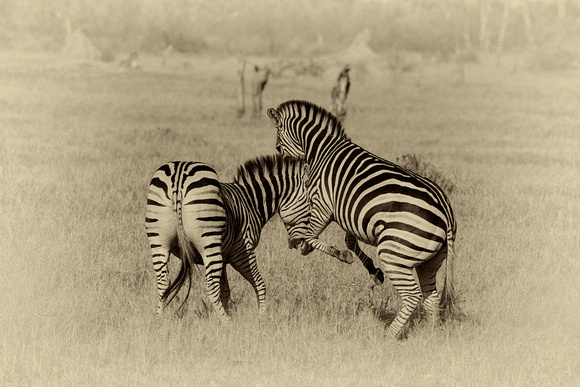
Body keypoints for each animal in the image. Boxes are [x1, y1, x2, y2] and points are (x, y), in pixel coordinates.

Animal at [146, 155, 318, 318]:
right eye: (312, 207)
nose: (307, 248)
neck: (251, 203)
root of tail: (179, 175)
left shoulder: (224, 255)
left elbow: (225, 291)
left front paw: (230, 312)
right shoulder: (242, 251)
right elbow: (260, 284)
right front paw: (261, 316)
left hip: (158, 242)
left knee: (163, 283)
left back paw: (159, 319)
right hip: (209, 242)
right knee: (211, 286)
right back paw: (226, 323)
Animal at [268, 101, 462, 340]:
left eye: (279, 144)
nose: (280, 156)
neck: (322, 151)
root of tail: (446, 213)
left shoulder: (323, 205)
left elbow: (312, 235)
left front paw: (331, 253)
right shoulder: (350, 214)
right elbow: (350, 242)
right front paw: (373, 271)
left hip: (394, 252)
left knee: (413, 296)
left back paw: (389, 336)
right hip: (429, 261)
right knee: (431, 296)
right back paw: (431, 335)